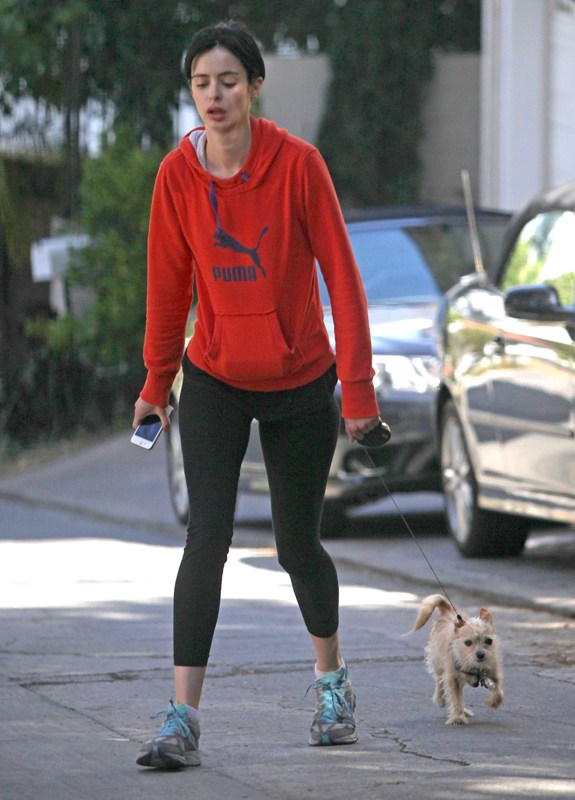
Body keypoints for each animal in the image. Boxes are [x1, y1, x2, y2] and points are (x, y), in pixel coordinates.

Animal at [411, 594, 504, 725]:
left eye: (489, 641)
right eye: (468, 642)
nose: (480, 654)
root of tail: (447, 611)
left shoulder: (493, 672)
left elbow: (498, 689)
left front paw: (494, 701)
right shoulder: (452, 678)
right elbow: (455, 699)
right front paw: (458, 717)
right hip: (438, 663)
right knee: (439, 680)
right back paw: (440, 699)